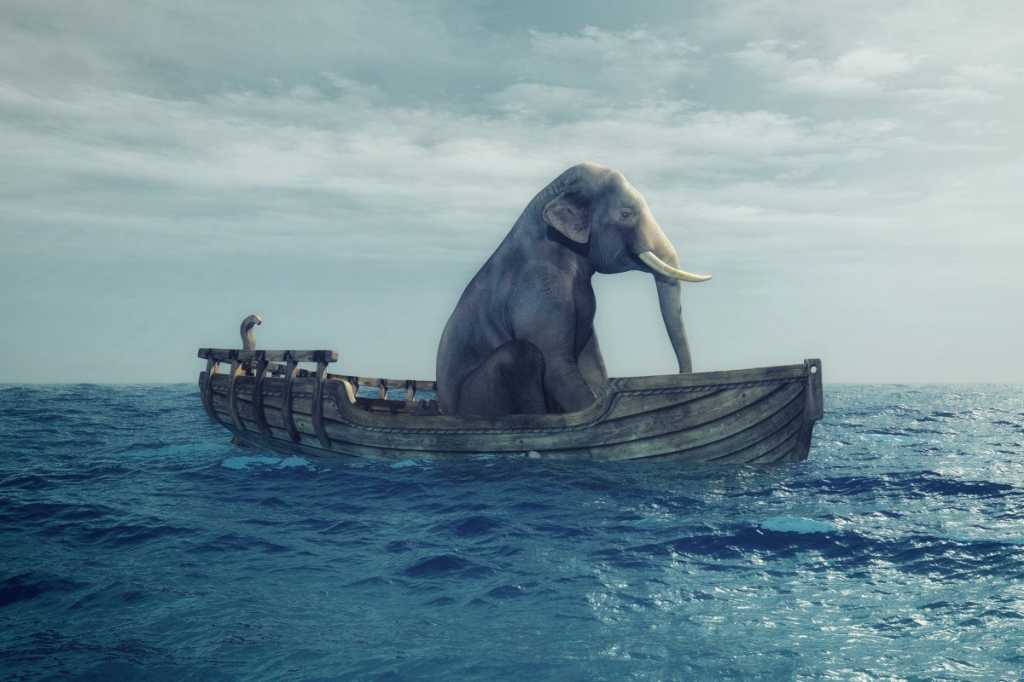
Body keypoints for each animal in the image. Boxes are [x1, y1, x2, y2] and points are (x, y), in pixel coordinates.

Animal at [435, 162, 710, 419]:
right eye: (625, 213)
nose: (682, 378)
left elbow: (592, 364)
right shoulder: (538, 289)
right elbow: (558, 366)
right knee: (521, 353)